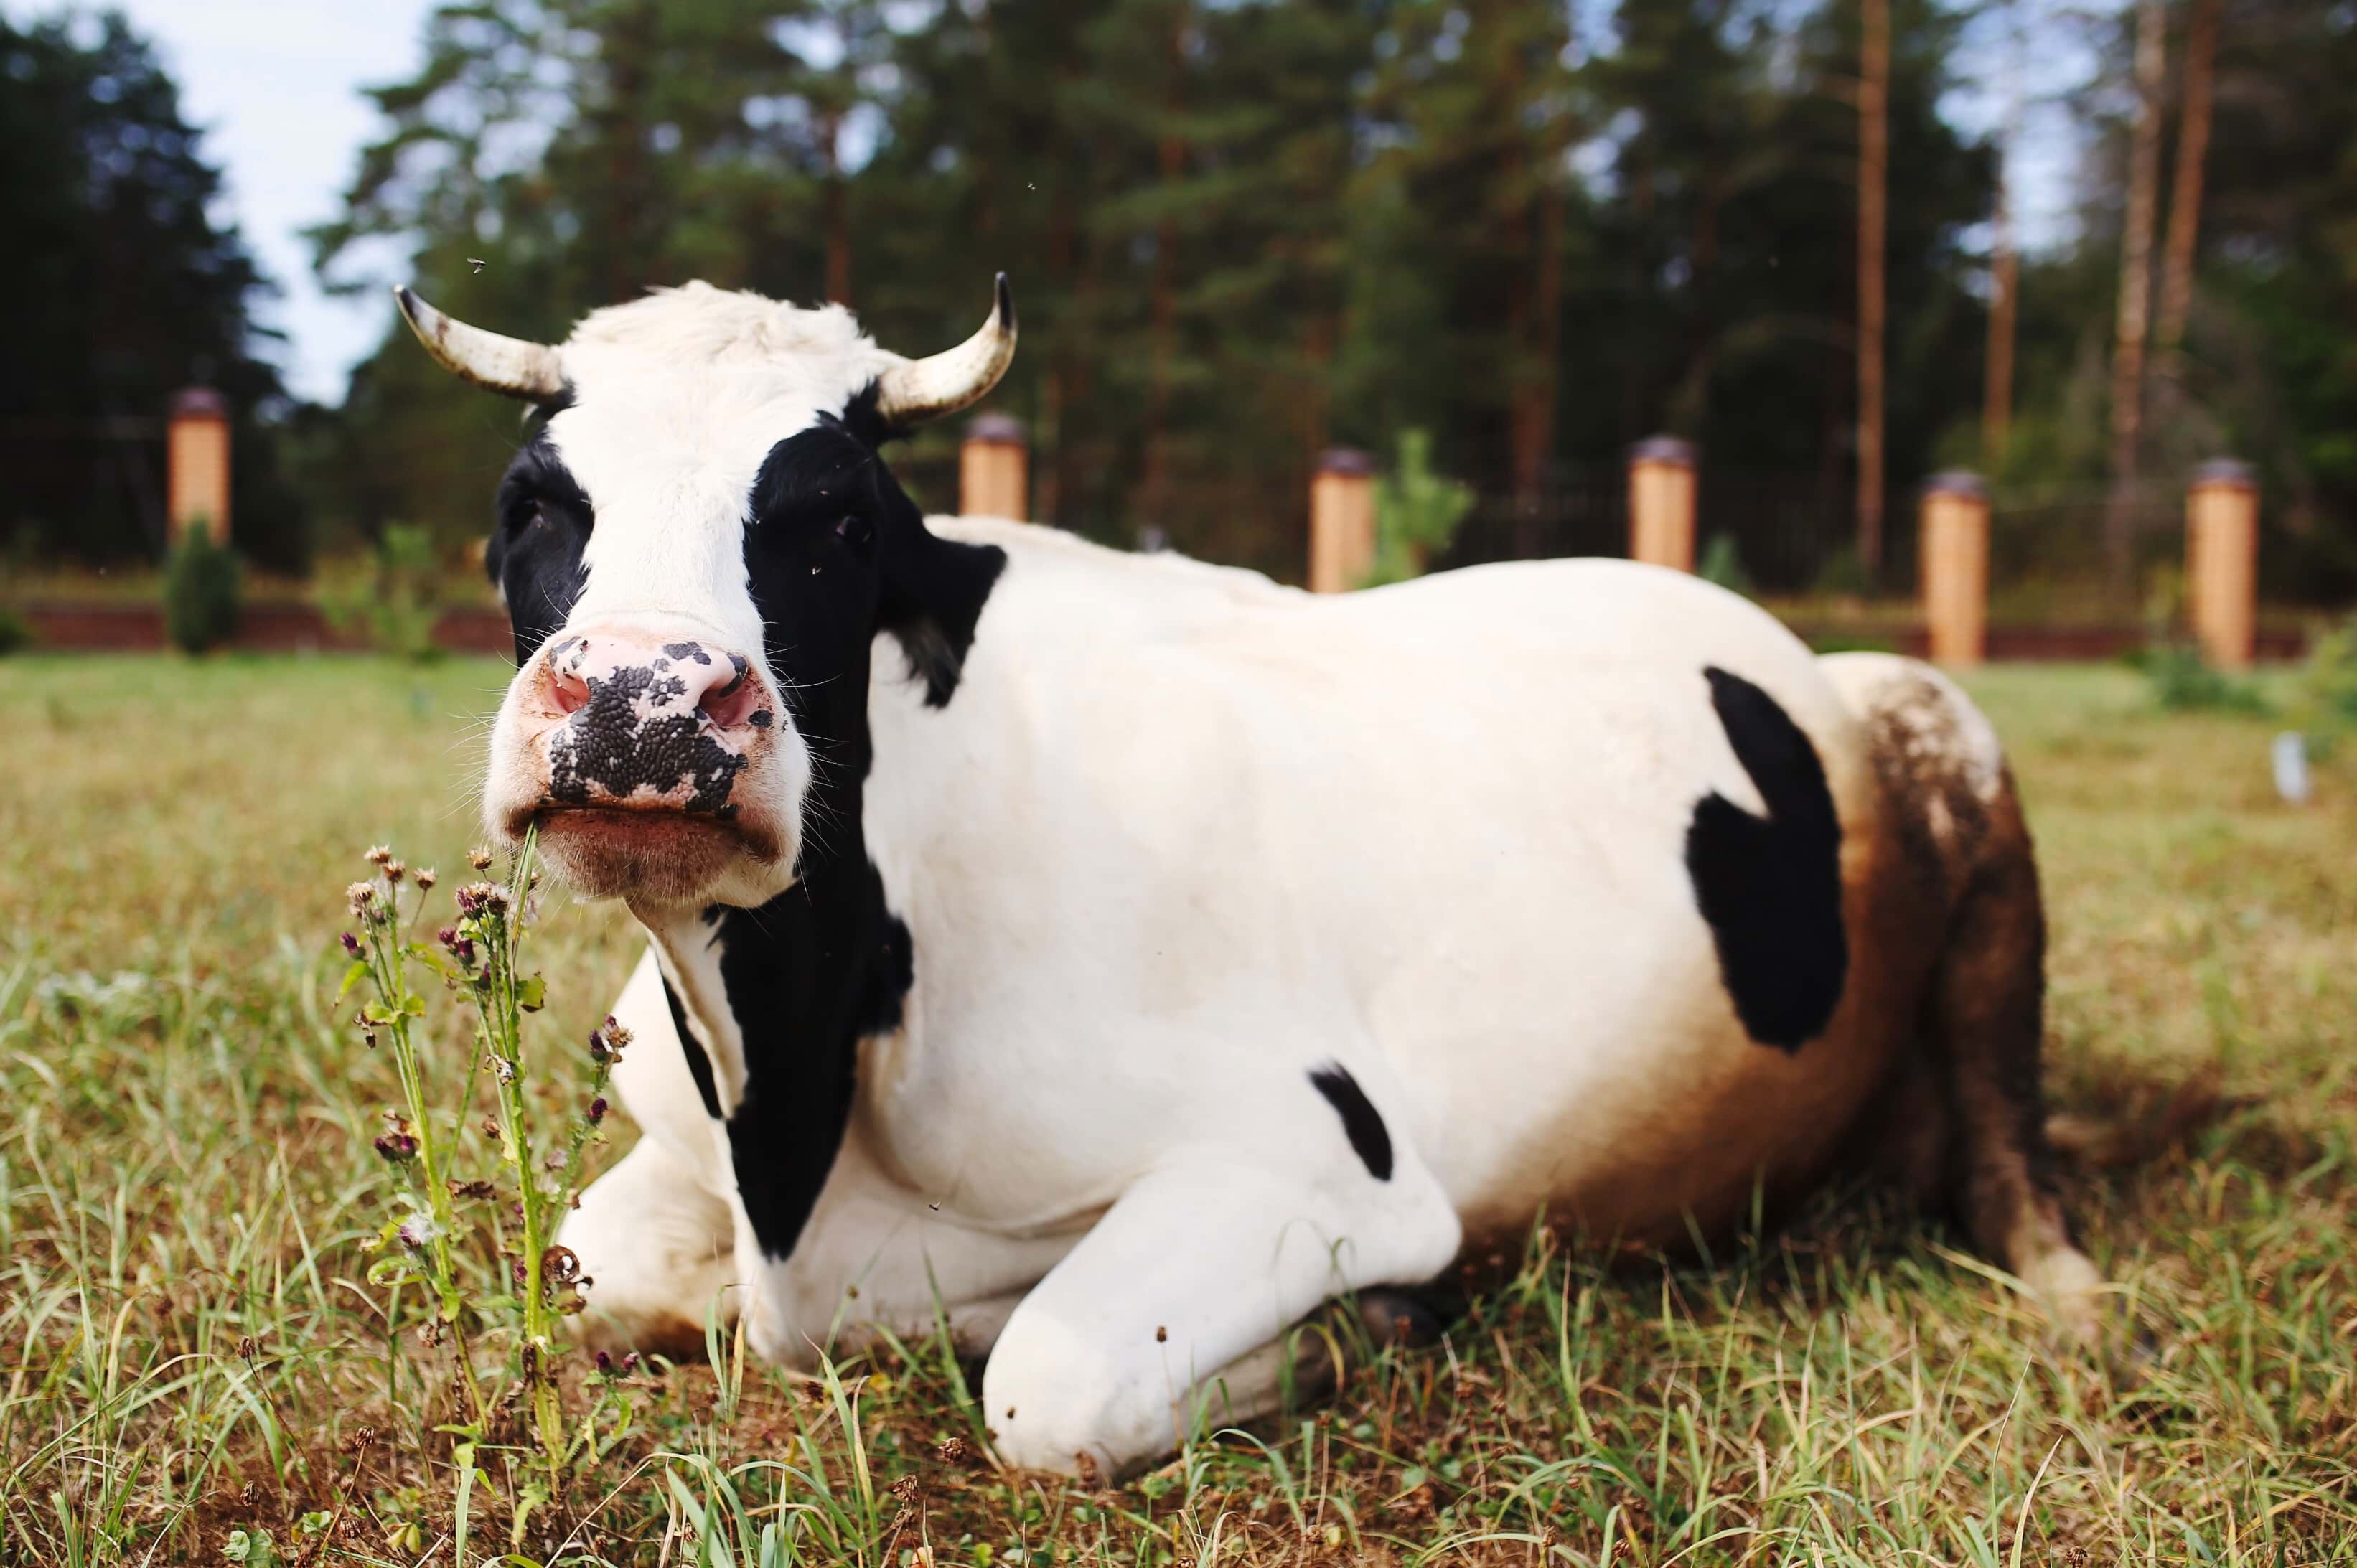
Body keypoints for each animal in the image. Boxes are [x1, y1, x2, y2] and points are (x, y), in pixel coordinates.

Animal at [395, 274, 2103, 1478]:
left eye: (832, 519)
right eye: (535, 504)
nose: (646, 702)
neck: (795, 1109)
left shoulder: (1310, 1158)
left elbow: (1047, 1385)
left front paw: (1373, 1325)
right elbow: (591, 1269)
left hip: (1947, 727)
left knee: (2006, 1130)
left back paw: (2064, 1285)